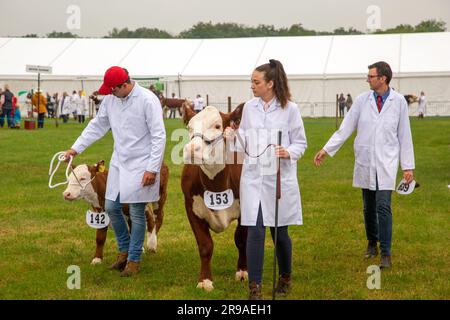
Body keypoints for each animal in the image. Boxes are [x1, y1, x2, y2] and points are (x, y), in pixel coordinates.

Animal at [181, 104, 248, 292]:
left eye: (217, 126)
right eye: (189, 127)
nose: (192, 150)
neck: (216, 185)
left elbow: (241, 240)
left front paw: (242, 271)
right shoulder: (191, 208)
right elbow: (205, 245)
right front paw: (205, 280)